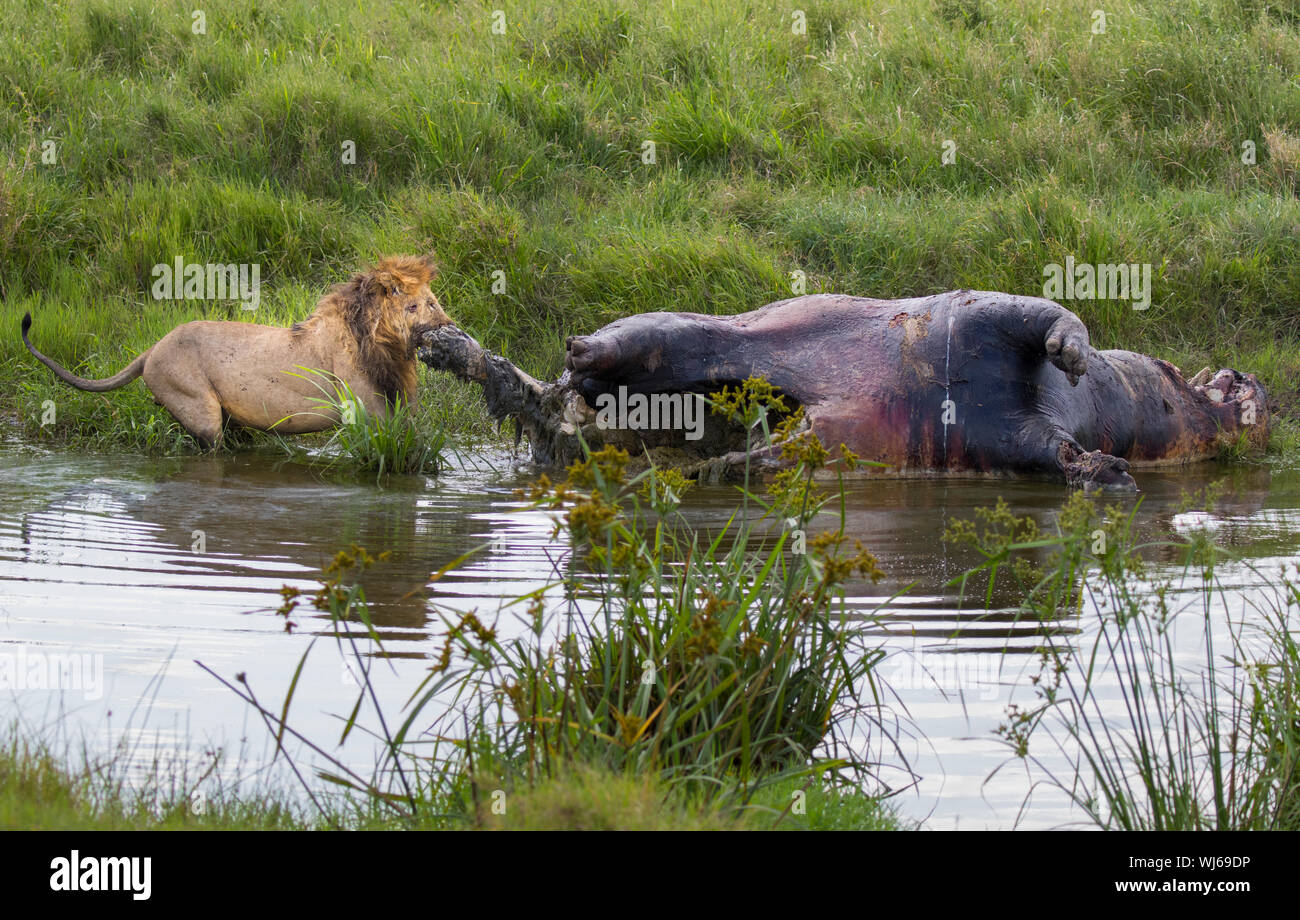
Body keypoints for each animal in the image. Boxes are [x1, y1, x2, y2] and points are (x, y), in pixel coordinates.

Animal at [20, 254, 452, 449]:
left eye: (434, 301)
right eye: (422, 306)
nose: (449, 327)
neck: (384, 343)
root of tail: (151, 349)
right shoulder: (366, 409)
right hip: (199, 409)